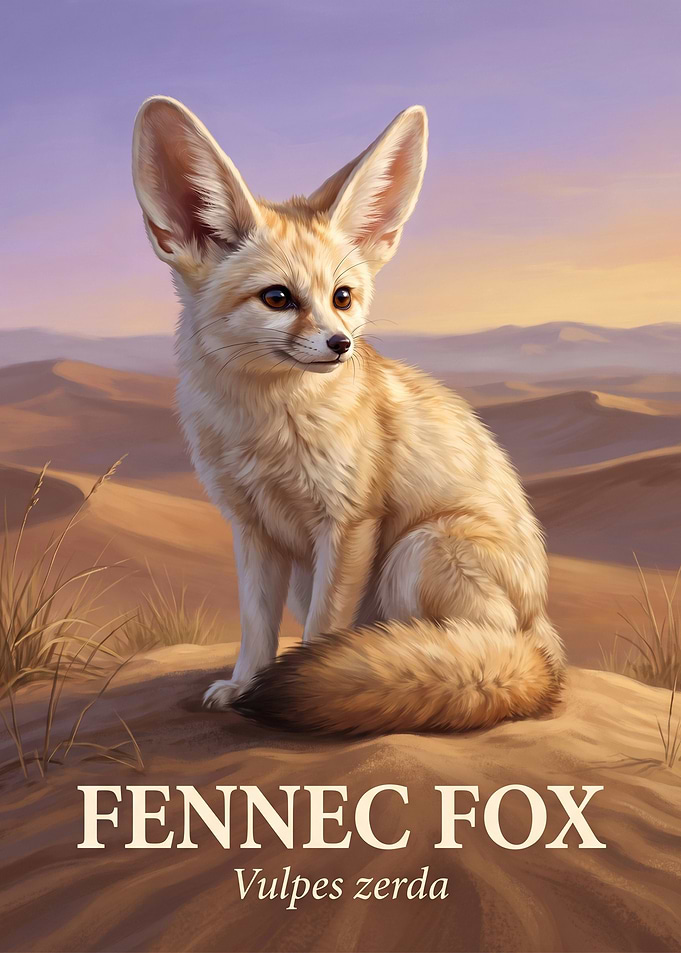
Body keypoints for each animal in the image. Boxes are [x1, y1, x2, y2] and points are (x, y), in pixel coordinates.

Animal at [131, 96, 565, 735]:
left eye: (342, 297)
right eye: (277, 298)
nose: (341, 346)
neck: (266, 427)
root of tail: (545, 643)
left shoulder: (349, 523)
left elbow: (322, 630)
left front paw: (305, 686)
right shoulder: (252, 529)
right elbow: (255, 627)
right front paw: (244, 685)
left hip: (420, 550)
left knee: (468, 647)